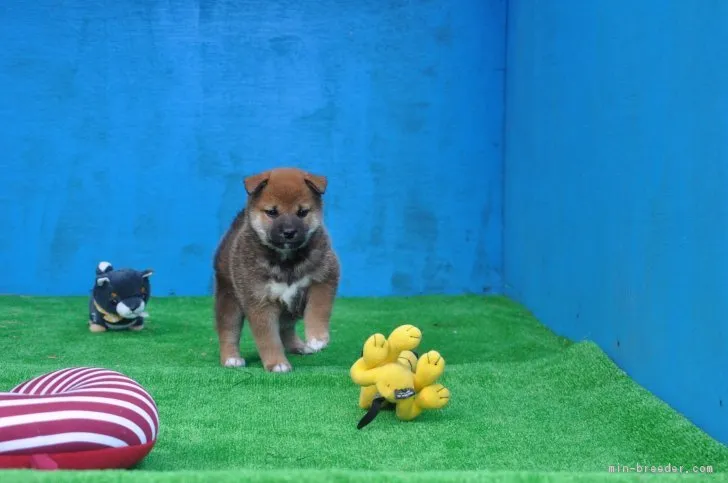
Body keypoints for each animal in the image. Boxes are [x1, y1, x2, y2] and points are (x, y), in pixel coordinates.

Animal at [213, 166, 342, 374]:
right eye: (272, 212)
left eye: (302, 212)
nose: (289, 232)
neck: (286, 260)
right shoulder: (259, 300)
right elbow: (268, 338)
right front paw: (277, 363)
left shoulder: (325, 277)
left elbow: (318, 308)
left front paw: (317, 337)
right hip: (229, 298)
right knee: (228, 331)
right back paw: (231, 358)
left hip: (288, 310)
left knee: (286, 329)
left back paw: (299, 346)